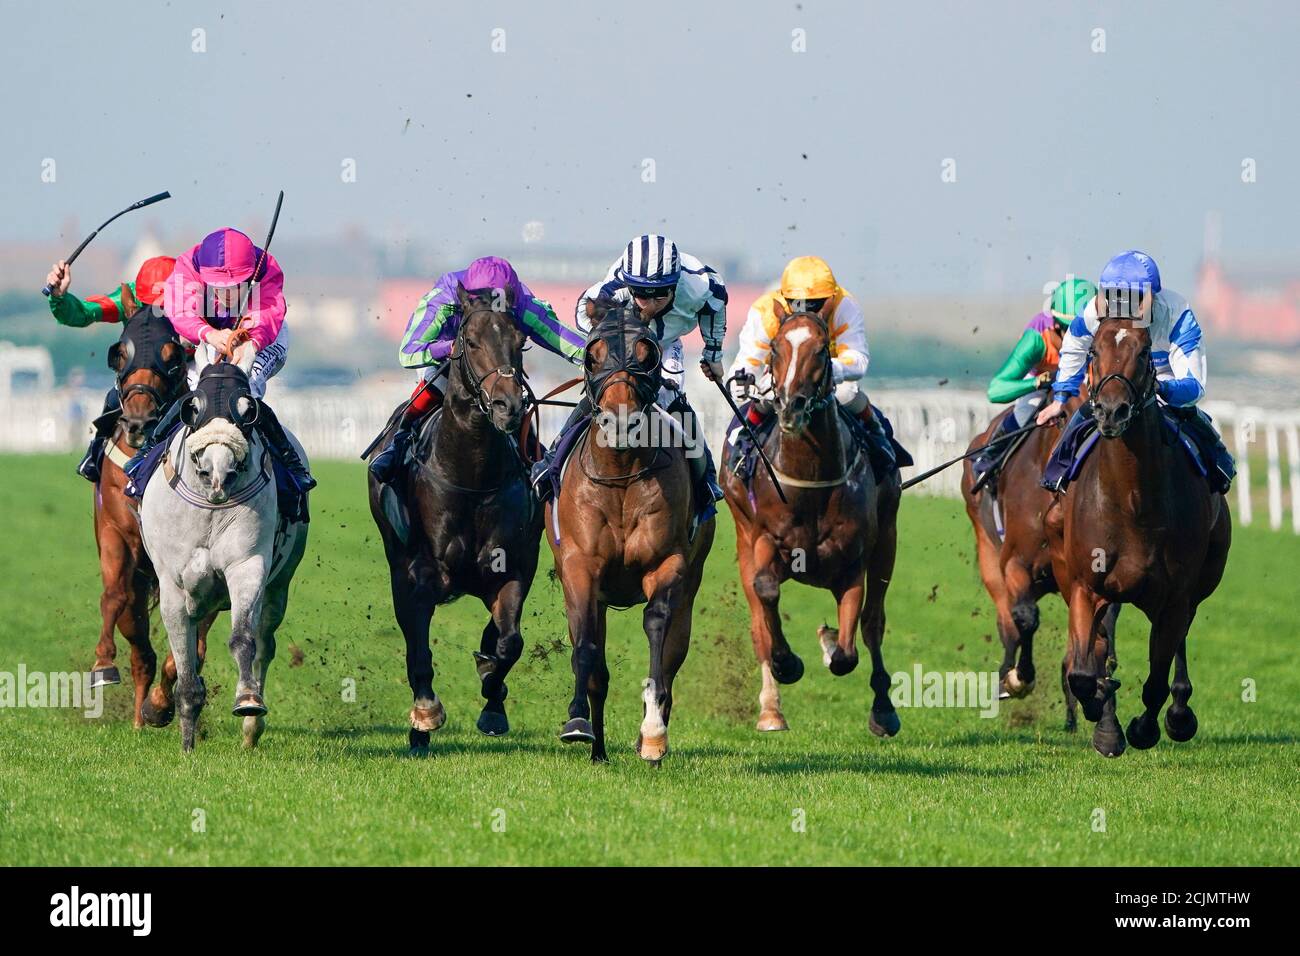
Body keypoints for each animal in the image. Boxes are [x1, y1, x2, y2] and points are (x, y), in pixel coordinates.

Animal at [89, 287, 211, 728]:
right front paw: (102, 663)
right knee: (138, 641)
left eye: (173, 356)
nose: (138, 423)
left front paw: (164, 701)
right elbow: (113, 595)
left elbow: (191, 645)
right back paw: (141, 715)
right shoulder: (116, 531)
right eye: (120, 353)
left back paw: (156, 705)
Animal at [369, 283, 540, 754]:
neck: (471, 475)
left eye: (521, 342)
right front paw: (425, 715)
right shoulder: (418, 575)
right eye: (472, 341)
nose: (507, 406)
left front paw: (492, 696)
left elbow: (509, 642)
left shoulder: (513, 567)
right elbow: (419, 650)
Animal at [543, 297, 717, 764]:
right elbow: (586, 648)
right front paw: (577, 723)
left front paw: (653, 732)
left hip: (691, 585)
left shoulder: (668, 563)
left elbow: (657, 626)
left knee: (673, 651)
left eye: (648, 354)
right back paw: (598, 749)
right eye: (593, 354)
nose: (620, 424)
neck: (620, 474)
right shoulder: (580, 568)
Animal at [717, 303, 899, 738]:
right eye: (776, 348)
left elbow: (848, 651)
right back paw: (771, 711)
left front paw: (830, 643)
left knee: (873, 622)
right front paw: (788, 663)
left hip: (888, 538)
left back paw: (883, 709)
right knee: (758, 623)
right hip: (743, 537)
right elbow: (766, 594)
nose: (791, 406)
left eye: (820, 350)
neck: (811, 480)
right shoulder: (764, 538)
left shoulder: (853, 559)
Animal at [1045, 314, 1227, 754]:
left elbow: (1156, 681)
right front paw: (1100, 708)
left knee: (1179, 640)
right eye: (1093, 351)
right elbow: (1083, 672)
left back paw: (1178, 715)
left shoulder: (1175, 595)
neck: (1131, 500)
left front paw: (1147, 727)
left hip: (1198, 583)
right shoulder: (1085, 585)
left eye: (1144, 353)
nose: (1112, 411)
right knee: (1101, 644)